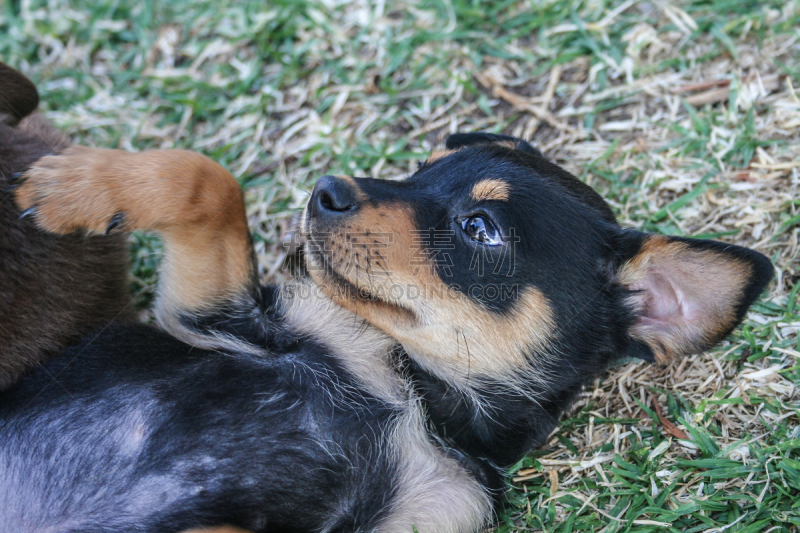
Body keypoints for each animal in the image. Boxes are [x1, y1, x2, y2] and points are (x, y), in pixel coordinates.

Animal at [0, 63, 776, 532]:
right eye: (420, 170)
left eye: (480, 227)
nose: (325, 190)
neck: (414, 395)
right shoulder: (211, 317)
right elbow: (207, 178)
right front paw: (73, 185)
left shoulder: (429, 510)